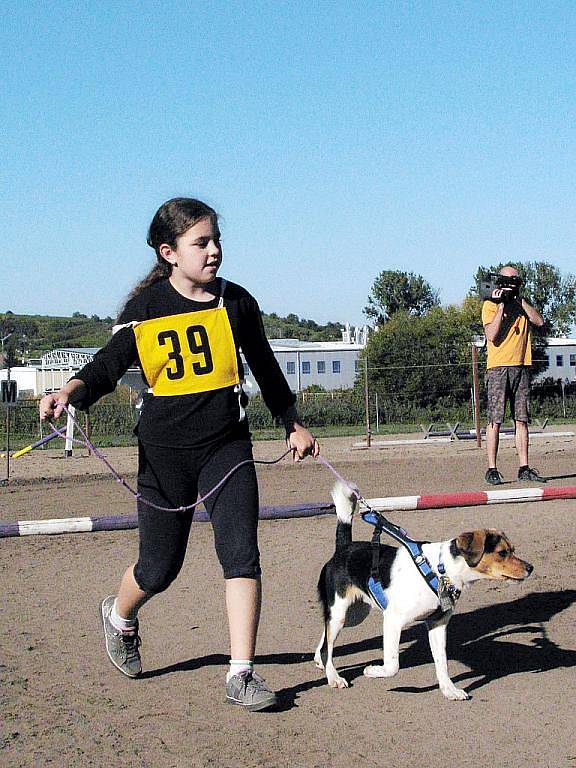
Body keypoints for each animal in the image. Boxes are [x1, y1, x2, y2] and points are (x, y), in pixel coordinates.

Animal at [312, 484, 532, 700]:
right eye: (502, 553)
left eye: (513, 549)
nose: (530, 568)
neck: (441, 570)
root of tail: (344, 547)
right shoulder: (393, 620)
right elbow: (392, 665)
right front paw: (373, 671)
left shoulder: (437, 623)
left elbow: (442, 664)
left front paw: (449, 690)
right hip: (340, 611)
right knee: (328, 642)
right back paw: (334, 677)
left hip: (354, 614)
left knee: (325, 638)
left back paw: (319, 660)